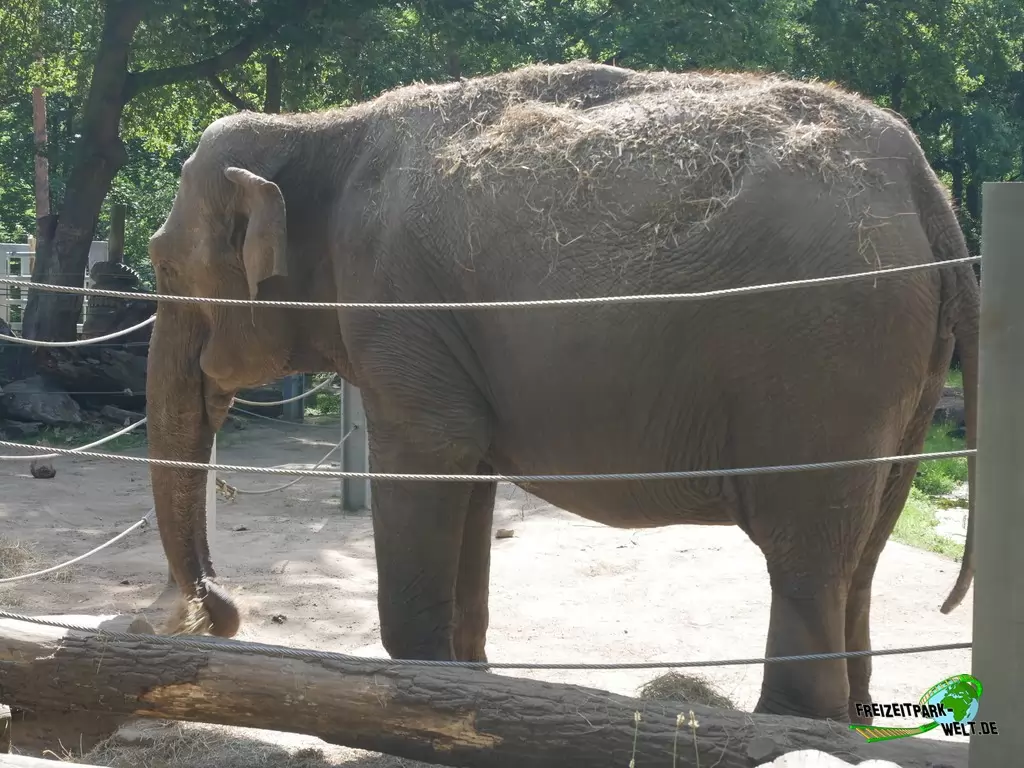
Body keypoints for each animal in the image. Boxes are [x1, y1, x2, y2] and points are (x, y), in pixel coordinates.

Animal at [145, 61, 979, 724]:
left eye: (161, 265)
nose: (217, 613)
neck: (320, 127)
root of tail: (922, 181)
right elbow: (469, 475)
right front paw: (466, 693)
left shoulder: (399, 305)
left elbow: (428, 457)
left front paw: (418, 698)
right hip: (896, 371)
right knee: (863, 548)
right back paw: (852, 724)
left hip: (822, 351)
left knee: (805, 552)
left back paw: (786, 728)